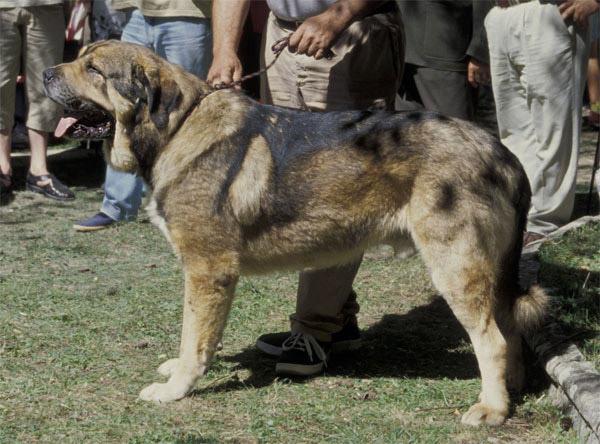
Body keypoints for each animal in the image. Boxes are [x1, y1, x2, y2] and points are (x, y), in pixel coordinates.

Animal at [42, 40, 548, 426]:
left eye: (93, 69)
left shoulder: (208, 270)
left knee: (493, 341)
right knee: (510, 331)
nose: (45, 72)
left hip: (455, 271)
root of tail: (499, 150)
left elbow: (193, 337)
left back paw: (491, 409)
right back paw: (511, 392)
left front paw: (177, 387)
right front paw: (185, 367)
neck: (176, 128)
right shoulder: (210, 279)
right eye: (81, 59)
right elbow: (202, 333)